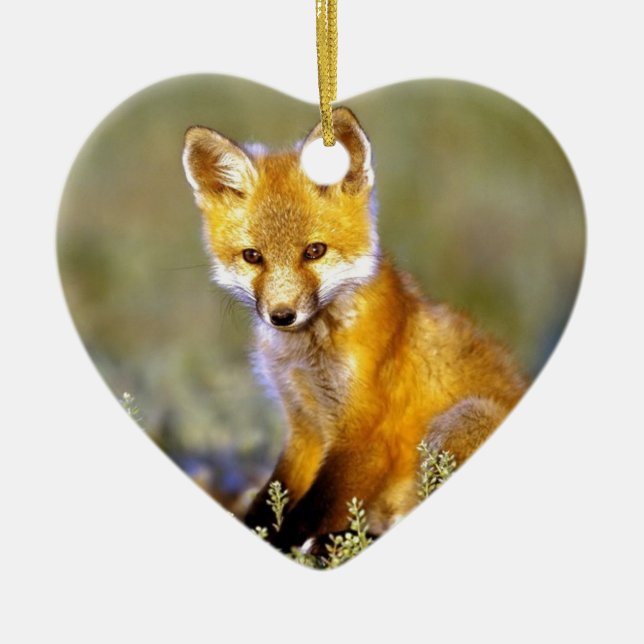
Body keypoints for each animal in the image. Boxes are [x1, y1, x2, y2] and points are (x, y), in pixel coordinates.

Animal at [182, 107, 527, 552]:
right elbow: (269, 502)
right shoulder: (304, 426)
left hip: (462, 419)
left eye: (314, 251)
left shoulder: (366, 435)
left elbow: (305, 516)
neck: (307, 357)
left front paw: (290, 547)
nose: (281, 315)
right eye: (252, 256)